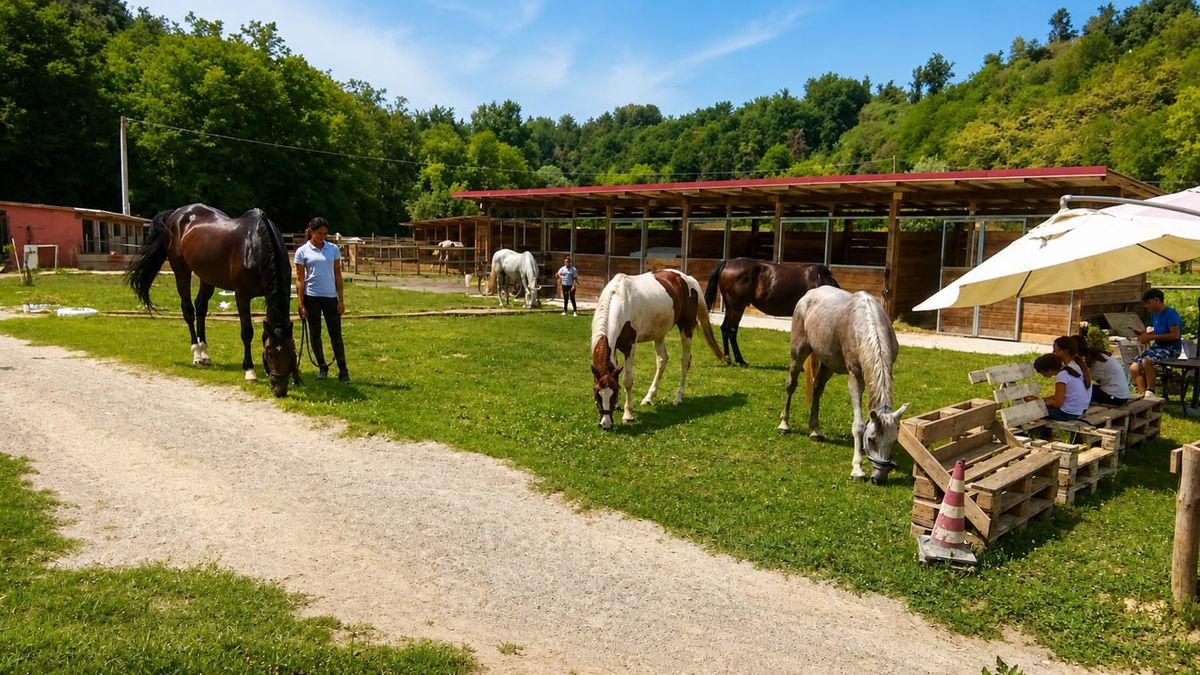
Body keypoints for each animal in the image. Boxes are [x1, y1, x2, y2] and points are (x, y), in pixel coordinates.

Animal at [126, 203, 301, 397]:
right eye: (270, 353)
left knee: (201, 307)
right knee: (188, 310)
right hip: (181, 271)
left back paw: (205, 354)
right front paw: (249, 371)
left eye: (292, 351)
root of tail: (177, 213)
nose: (280, 390)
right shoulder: (242, 295)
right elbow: (247, 332)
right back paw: (196, 355)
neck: (255, 245)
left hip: (207, 277)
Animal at [590, 270, 725, 430]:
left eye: (613, 394)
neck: (620, 300)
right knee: (662, 360)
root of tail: (688, 279)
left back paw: (678, 397)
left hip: (686, 329)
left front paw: (628, 414)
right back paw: (649, 397)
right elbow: (615, 373)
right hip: (659, 334)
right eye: (597, 394)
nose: (606, 424)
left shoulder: (630, 346)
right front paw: (618, 406)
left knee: (685, 361)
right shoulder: (614, 346)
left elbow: (627, 380)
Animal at [704, 258, 839, 367]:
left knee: (724, 328)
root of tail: (727, 263)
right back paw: (740, 361)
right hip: (737, 307)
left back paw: (728, 359)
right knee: (731, 330)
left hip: (730, 307)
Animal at [777, 285, 909, 484]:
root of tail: (809, 294)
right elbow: (858, 425)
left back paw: (815, 430)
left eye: (894, 441)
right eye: (871, 439)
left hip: (827, 364)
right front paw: (857, 469)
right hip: (798, 352)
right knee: (791, 385)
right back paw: (784, 424)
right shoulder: (855, 377)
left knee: (817, 389)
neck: (866, 324)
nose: (879, 478)